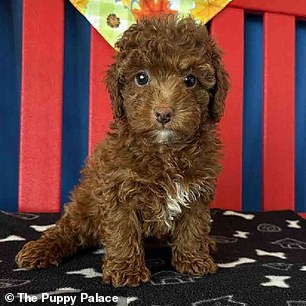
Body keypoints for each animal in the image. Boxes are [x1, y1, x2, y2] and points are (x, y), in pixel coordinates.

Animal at [15, 14, 228, 286]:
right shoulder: (118, 189)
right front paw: (127, 270)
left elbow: (193, 226)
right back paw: (40, 250)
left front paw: (193, 260)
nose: (163, 113)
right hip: (84, 206)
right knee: (67, 231)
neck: (164, 151)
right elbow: (122, 230)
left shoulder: (197, 189)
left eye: (190, 80)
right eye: (141, 78)